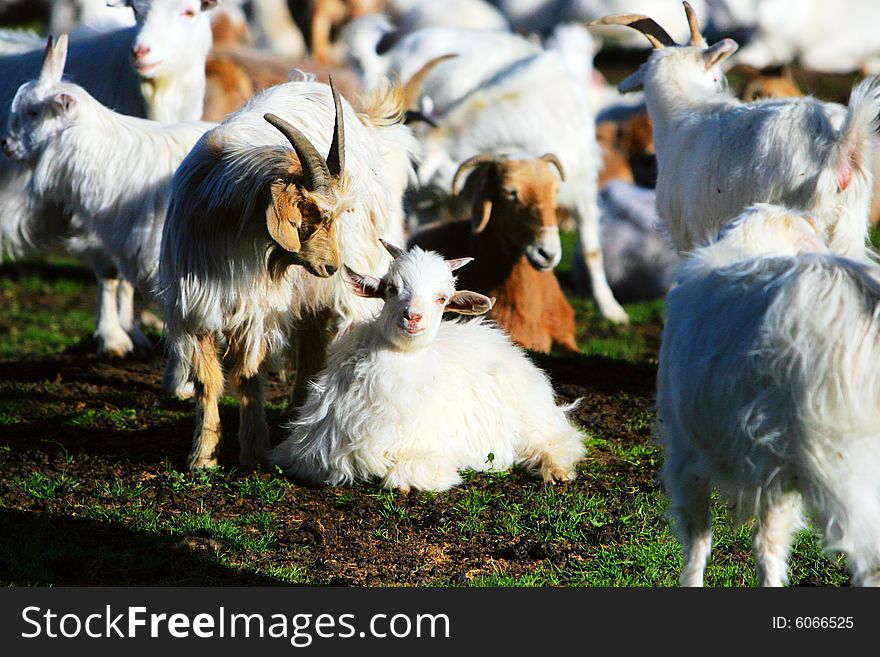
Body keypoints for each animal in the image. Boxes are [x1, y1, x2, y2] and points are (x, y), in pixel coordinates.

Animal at [159, 74, 420, 468]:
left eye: (338, 216)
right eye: (310, 215)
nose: (332, 266)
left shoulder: (256, 311)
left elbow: (248, 376)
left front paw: (253, 451)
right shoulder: (195, 308)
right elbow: (208, 380)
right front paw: (202, 456)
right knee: (310, 337)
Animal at [268, 238, 584, 490]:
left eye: (442, 298)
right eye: (390, 288)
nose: (413, 317)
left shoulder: (431, 453)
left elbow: (400, 478)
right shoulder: (308, 454)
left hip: (532, 415)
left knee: (561, 439)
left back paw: (557, 470)